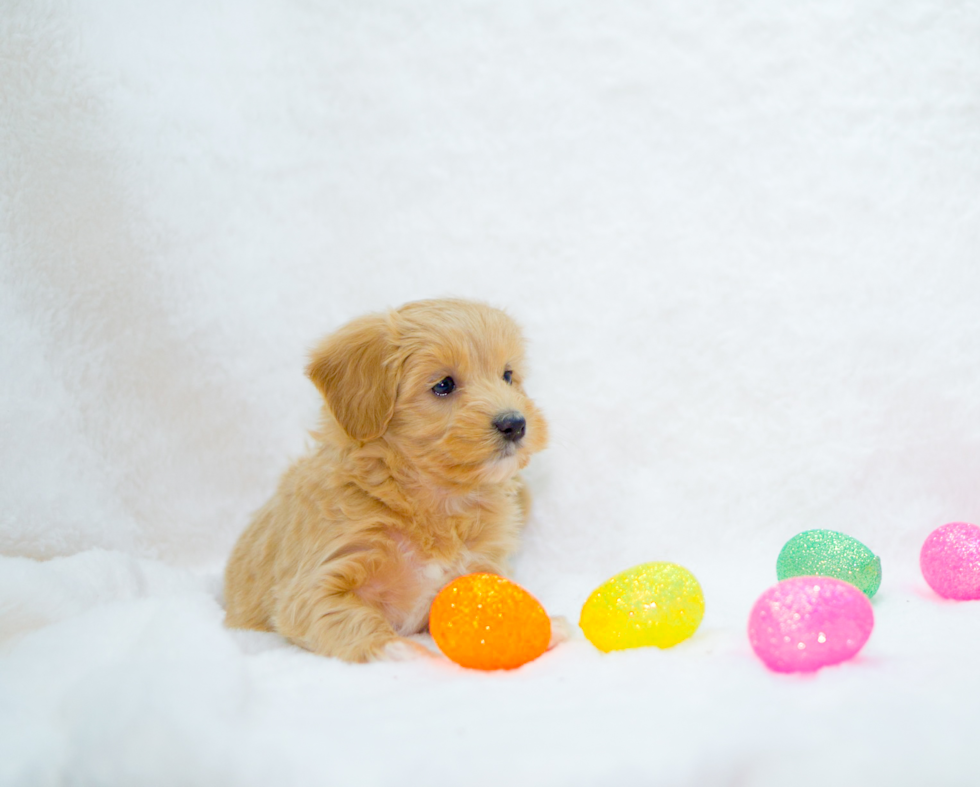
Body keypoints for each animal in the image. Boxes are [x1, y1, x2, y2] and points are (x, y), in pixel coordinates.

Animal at [225, 298, 556, 660]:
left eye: (507, 375)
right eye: (444, 385)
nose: (515, 423)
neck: (435, 502)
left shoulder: (485, 566)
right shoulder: (313, 587)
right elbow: (360, 625)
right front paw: (409, 654)